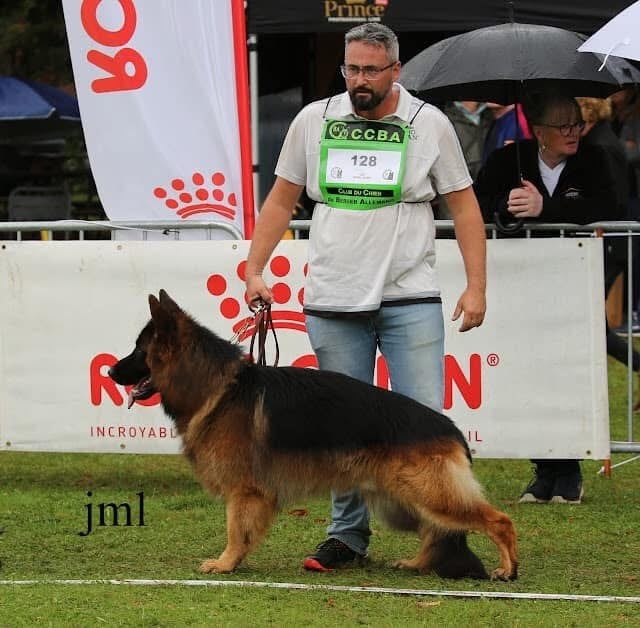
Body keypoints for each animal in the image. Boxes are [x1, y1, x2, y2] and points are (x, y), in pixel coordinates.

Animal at [110, 292, 516, 580]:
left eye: (139, 351)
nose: (111, 372)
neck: (217, 387)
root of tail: (451, 428)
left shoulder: (244, 491)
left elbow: (236, 531)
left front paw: (226, 564)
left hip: (427, 494)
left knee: (498, 521)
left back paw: (508, 569)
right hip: (401, 500)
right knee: (436, 532)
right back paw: (419, 563)